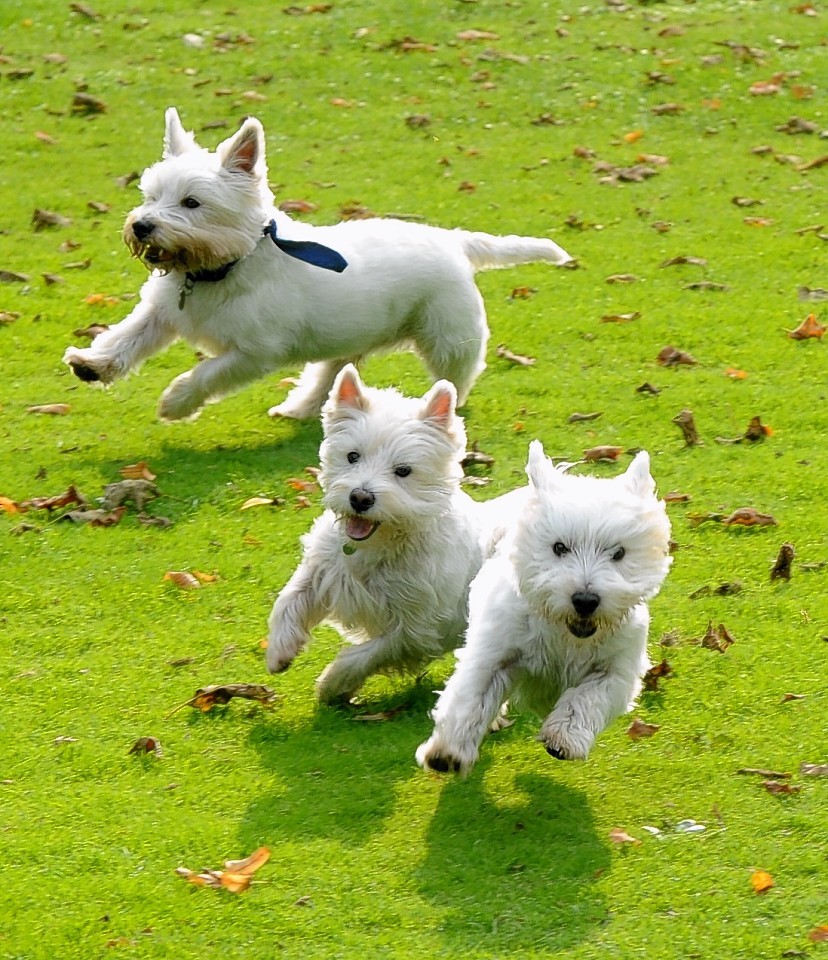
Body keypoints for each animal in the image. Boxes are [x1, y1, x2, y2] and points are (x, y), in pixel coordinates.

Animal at [63, 108, 568, 420]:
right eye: (150, 196)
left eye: (191, 202)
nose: (142, 226)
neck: (220, 268)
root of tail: (452, 240)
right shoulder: (162, 313)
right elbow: (125, 337)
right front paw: (92, 364)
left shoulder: (253, 353)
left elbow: (208, 373)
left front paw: (176, 402)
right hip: (350, 336)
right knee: (331, 373)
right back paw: (300, 408)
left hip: (449, 336)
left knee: (457, 376)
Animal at [264, 364, 492, 700]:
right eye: (352, 456)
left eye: (403, 471)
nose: (360, 498)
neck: (381, 543)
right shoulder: (324, 570)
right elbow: (289, 598)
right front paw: (280, 650)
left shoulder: (418, 626)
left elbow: (368, 654)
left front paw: (332, 683)